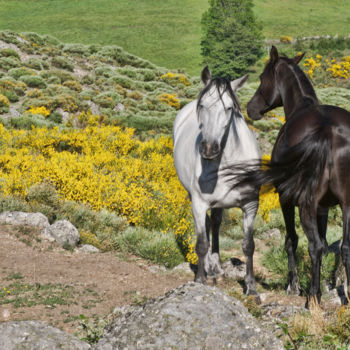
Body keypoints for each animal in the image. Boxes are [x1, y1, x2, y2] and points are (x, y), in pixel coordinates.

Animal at [174, 67, 262, 294]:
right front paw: (200, 280)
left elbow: (249, 245)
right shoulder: (199, 203)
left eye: (229, 108)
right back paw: (209, 269)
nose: (208, 149)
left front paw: (251, 288)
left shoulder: (250, 205)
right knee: (206, 227)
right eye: (202, 105)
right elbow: (201, 244)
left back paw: (216, 266)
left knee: (214, 222)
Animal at [246, 45, 350, 304]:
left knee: (313, 245)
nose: (251, 108)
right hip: (346, 203)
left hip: (305, 203)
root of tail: (327, 130)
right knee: (345, 246)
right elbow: (326, 242)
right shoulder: (323, 207)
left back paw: (313, 296)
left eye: (262, 78)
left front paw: (293, 285)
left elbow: (292, 240)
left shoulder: (285, 199)